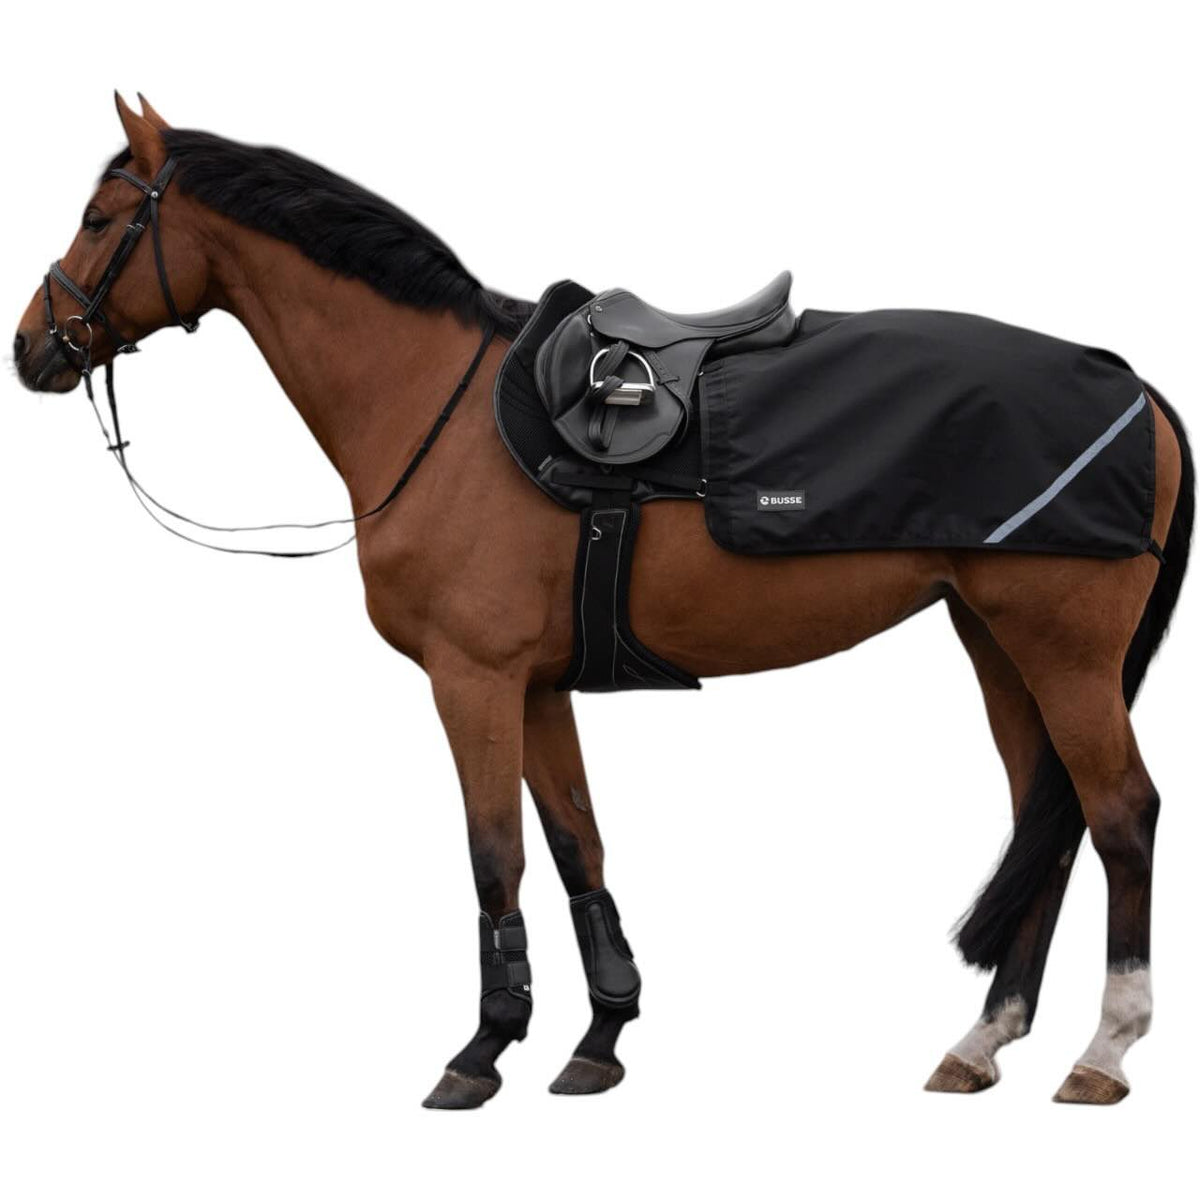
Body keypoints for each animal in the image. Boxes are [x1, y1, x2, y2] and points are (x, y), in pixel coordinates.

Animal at [13, 94, 1192, 1109]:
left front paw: (482, 1051)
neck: (440, 406)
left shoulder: (473, 681)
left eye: (101, 218)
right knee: (1047, 819)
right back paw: (983, 1038)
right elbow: (580, 847)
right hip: (997, 642)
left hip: (1063, 651)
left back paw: (1105, 1049)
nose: (31, 347)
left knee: (1119, 814)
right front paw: (599, 1038)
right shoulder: (537, 688)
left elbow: (495, 855)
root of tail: (1136, 388)